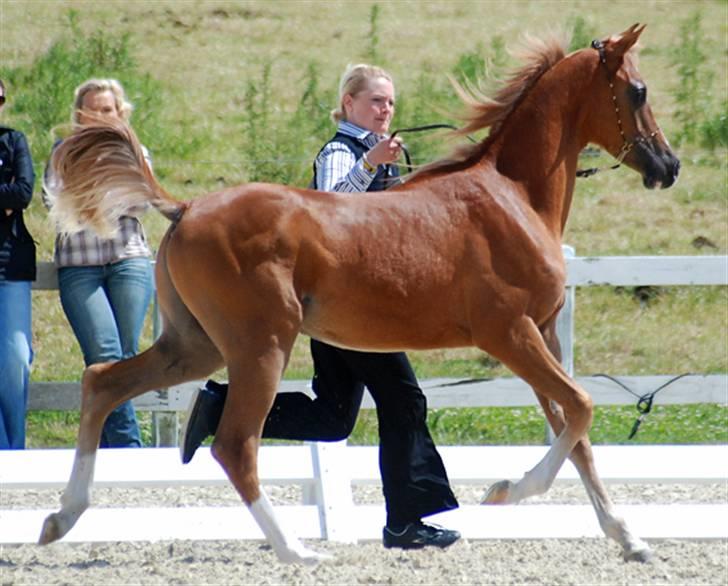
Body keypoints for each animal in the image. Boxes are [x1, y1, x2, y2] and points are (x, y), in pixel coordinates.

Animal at [39, 26, 676, 560]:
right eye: (638, 90)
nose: (667, 166)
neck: (513, 196)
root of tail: (186, 206)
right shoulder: (510, 333)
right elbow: (583, 408)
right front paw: (504, 490)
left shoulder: (541, 332)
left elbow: (576, 430)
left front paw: (630, 538)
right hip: (260, 345)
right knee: (235, 444)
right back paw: (296, 550)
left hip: (196, 345)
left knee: (103, 383)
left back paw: (60, 519)